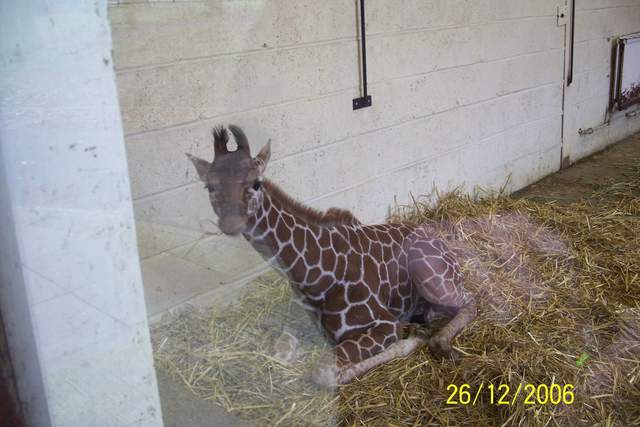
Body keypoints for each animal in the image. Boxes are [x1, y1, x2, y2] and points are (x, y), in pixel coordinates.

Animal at [187, 125, 476, 386]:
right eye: (209, 187)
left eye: (256, 183)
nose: (230, 224)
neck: (315, 278)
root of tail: (442, 243)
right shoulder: (296, 323)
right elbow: (280, 355)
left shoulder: (384, 324)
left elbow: (323, 372)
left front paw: (413, 339)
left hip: (432, 277)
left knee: (470, 301)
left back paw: (439, 341)